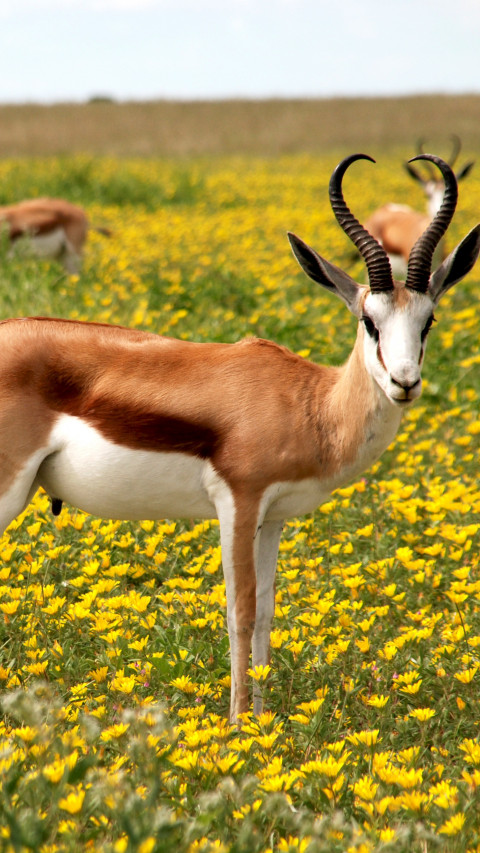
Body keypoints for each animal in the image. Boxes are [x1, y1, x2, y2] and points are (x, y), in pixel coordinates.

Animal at [0, 154, 479, 722]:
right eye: (369, 320)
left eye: (428, 320)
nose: (405, 382)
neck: (309, 402)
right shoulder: (238, 503)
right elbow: (240, 610)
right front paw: (236, 722)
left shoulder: (273, 518)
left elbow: (269, 610)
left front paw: (265, 720)